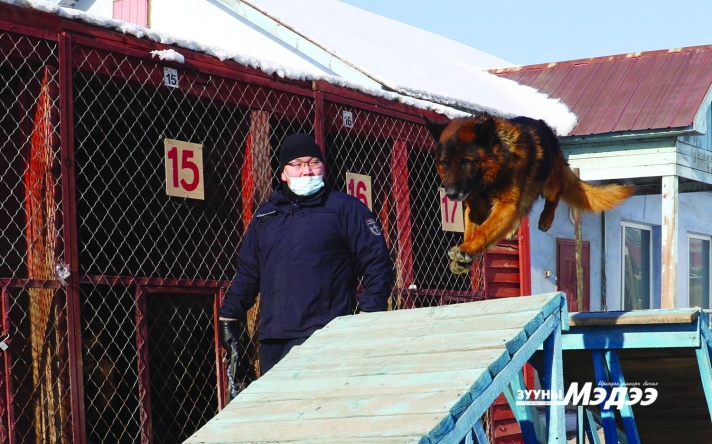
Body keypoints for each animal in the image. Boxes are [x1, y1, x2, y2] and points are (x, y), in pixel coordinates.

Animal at [422, 114, 636, 274]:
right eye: (445, 163)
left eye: (466, 162)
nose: (451, 194)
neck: (491, 176)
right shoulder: (475, 208)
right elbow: (473, 231)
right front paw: (465, 254)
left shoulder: (506, 204)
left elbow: (484, 230)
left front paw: (466, 250)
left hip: (549, 181)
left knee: (555, 194)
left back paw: (546, 218)